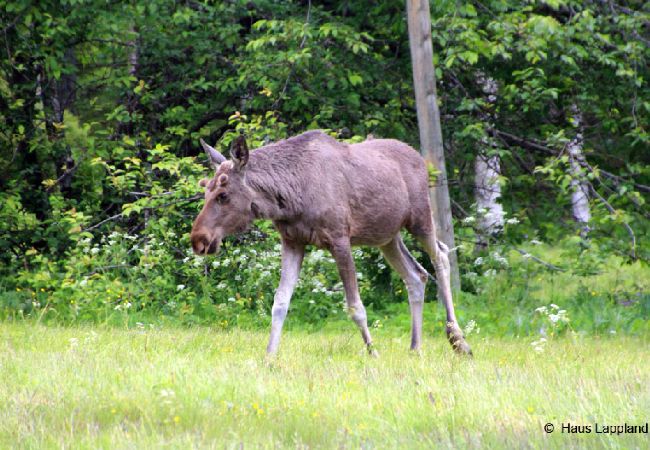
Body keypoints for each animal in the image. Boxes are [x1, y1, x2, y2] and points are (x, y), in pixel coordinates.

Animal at [190, 130, 468, 356]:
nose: (198, 240)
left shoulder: (339, 239)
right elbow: (279, 303)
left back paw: (458, 340)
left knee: (441, 255)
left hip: (420, 218)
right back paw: (415, 347)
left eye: (223, 194)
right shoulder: (292, 241)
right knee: (416, 276)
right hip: (387, 237)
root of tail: (420, 159)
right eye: (205, 191)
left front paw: (373, 353)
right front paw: (269, 356)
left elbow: (355, 307)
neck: (289, 198)